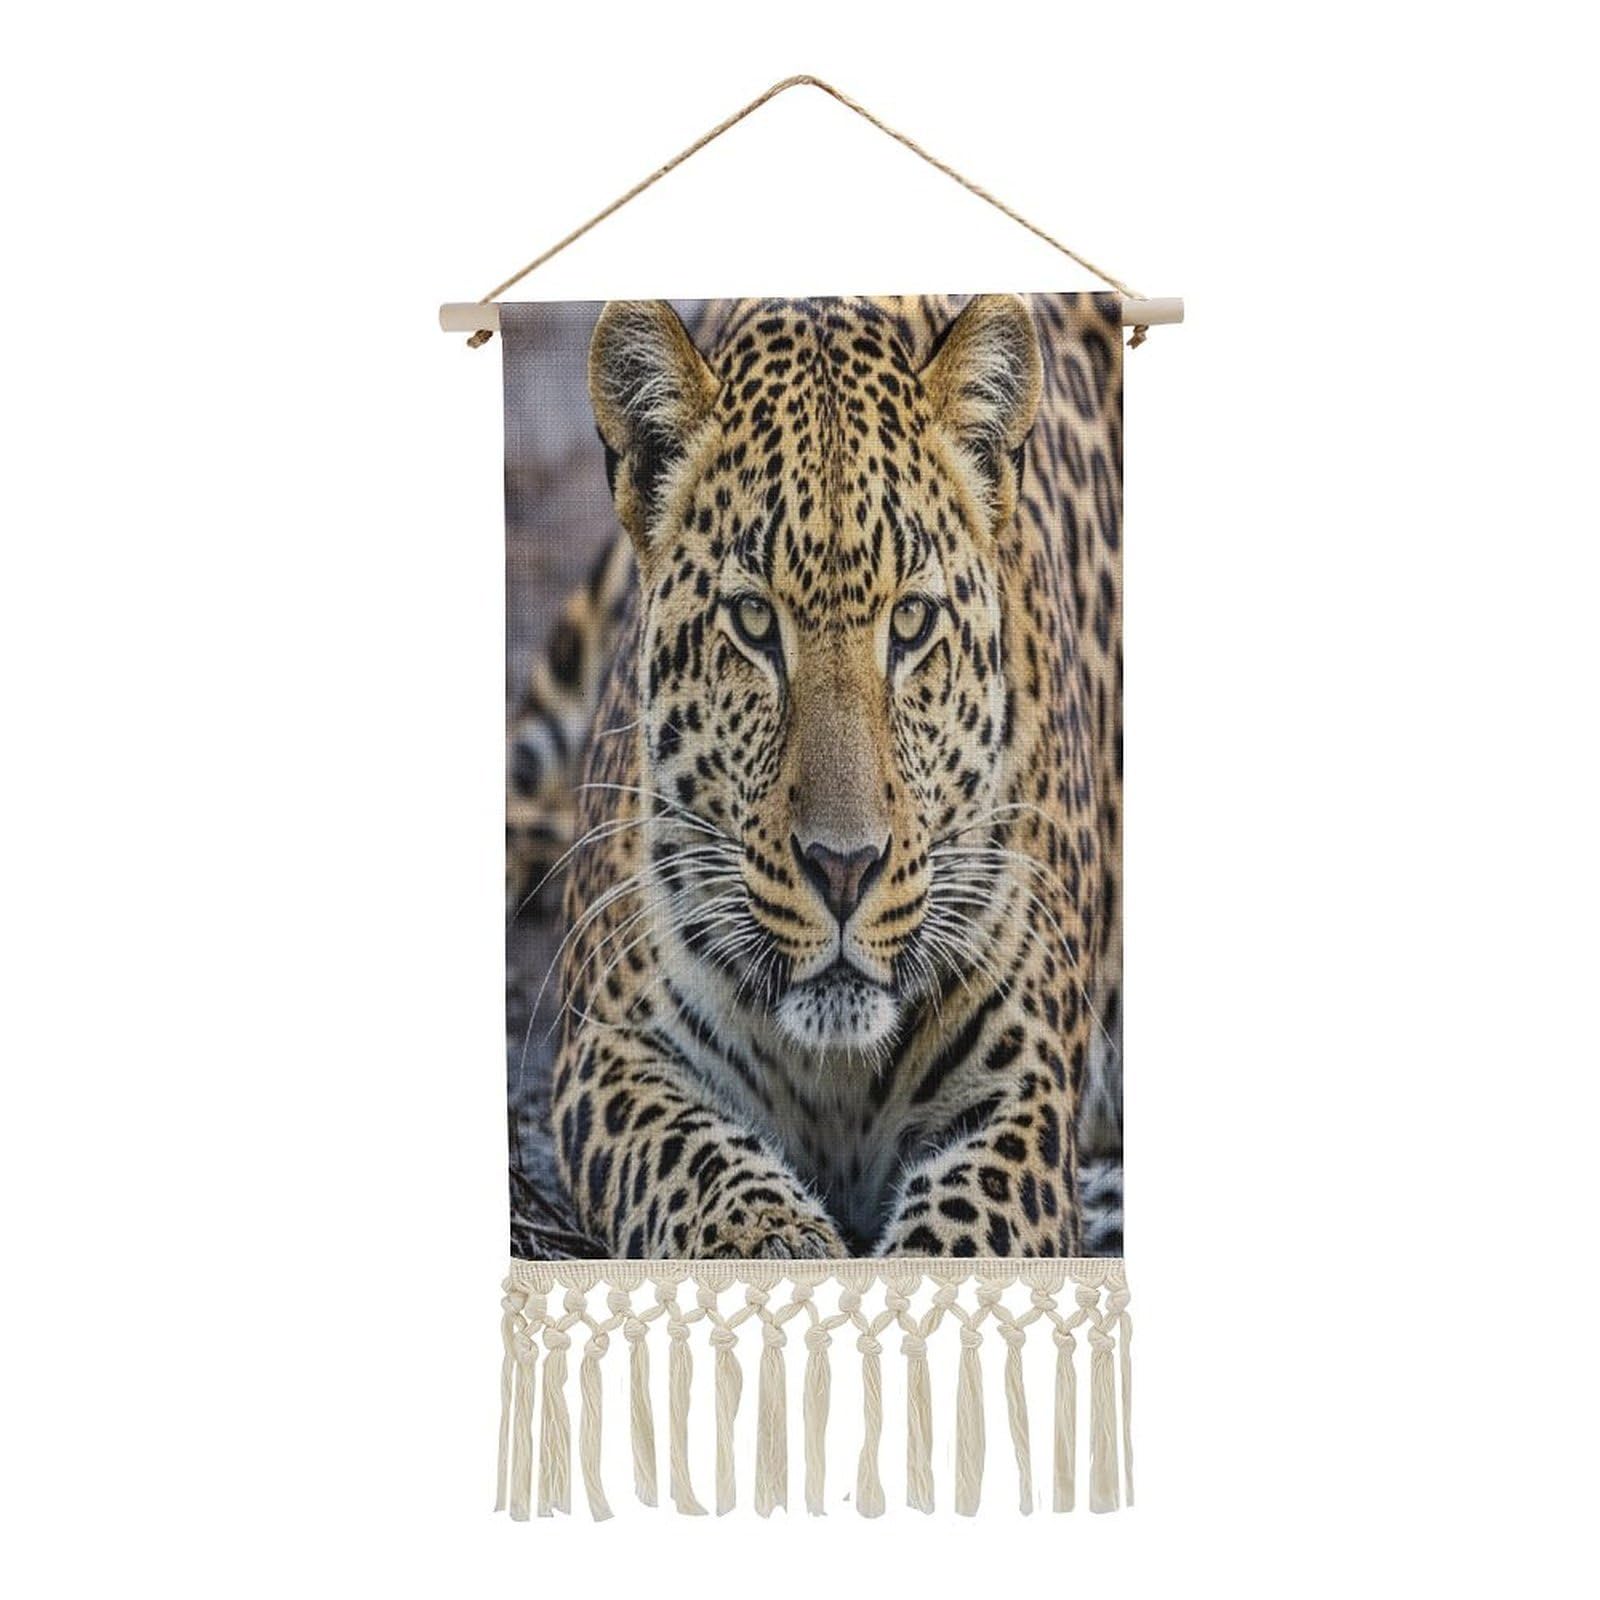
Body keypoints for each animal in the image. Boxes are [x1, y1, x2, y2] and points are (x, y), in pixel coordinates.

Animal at [511, 293, 1124, 1258]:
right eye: (755, 621)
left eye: (911, 622)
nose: (844, 870)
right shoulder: (611, 1055)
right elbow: (701, 1170)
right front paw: (779, 1242)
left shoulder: (1021, 1103)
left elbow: (953, 1248)